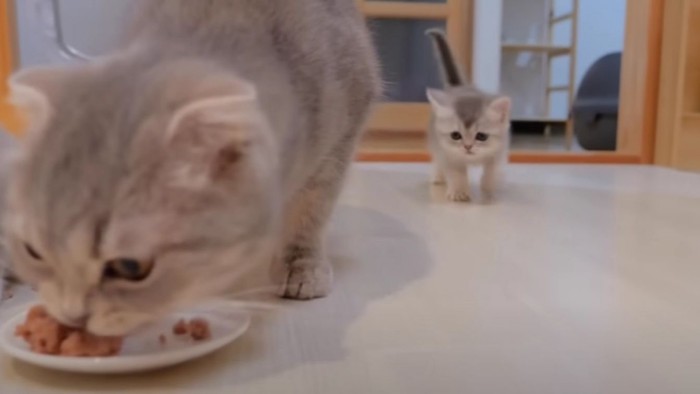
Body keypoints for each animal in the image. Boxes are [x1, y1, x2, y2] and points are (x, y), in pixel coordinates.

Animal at [2, 0, 380, 336]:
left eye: (130, 265)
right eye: (35, 248)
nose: (73, 317)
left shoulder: (342, 134)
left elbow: (311, 212)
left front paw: (301, 264)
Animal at [424, 30, 512, 203]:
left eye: (482, 136)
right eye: (455, 135)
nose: (468, 146)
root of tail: (458, 87)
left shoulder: (498, 151)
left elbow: (491, 171)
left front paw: (488, 190)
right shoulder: (448, 154)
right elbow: (456, 173)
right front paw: (459, 192)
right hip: (436, 143)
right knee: (437, 160)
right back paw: (438, 177)